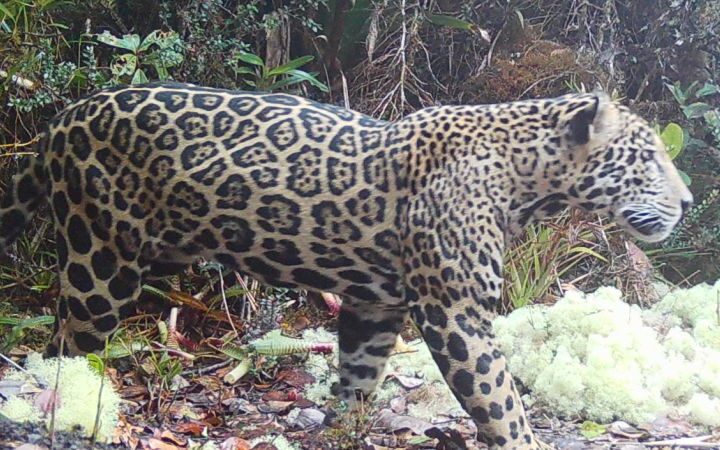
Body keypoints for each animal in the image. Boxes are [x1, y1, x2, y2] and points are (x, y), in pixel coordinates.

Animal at [0, 82, 692, 449]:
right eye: (649, 158)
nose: (688, 202)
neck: (528, 179)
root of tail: (63, 119)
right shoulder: (456, 311)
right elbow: (500, 398)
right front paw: (524, 440)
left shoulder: (375, 303)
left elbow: (360, 372)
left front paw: (346, 426)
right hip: (100, 262)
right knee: (65, 345)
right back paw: (66, 410)